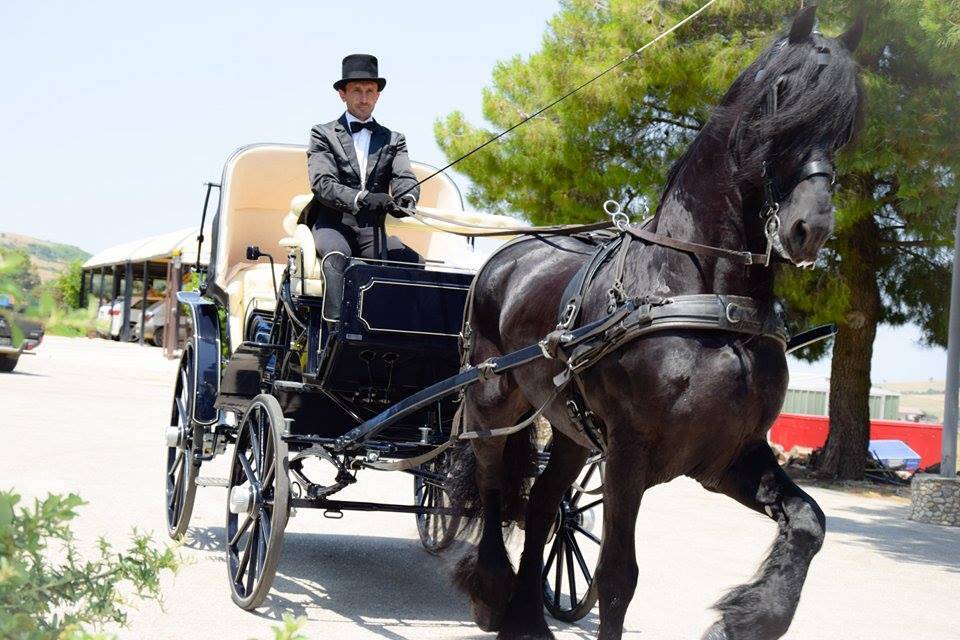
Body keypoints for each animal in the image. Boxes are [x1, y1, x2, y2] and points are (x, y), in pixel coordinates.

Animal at [448, 6, 864, 640]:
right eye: (781, 94)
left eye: (846, 121)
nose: (809, 227)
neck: (706, 297)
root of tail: (505, 257)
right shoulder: (629, 451)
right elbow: (619, 576)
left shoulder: (730, 456)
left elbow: (809, 521)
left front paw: (750, 617)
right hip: (494, 403)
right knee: (496, 485)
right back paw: (493, 591)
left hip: (570, 431)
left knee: (543, 502)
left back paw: (528, 618)